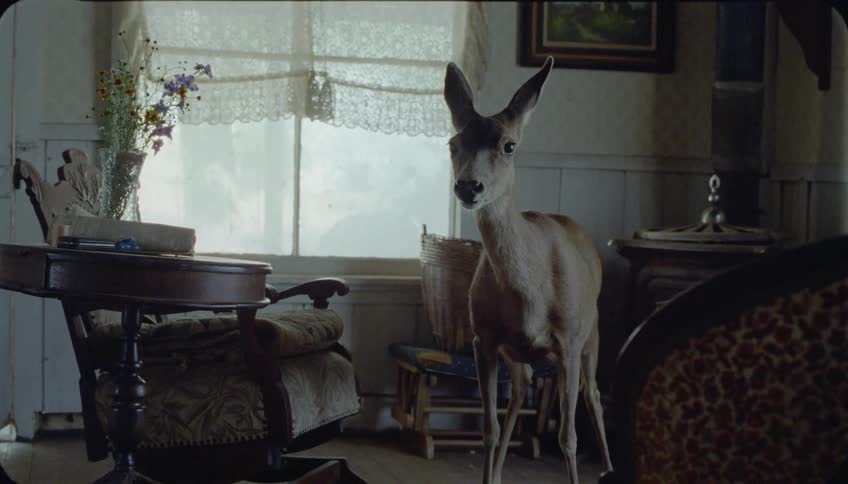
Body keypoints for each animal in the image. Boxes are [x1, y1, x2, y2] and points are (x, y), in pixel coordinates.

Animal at [443, 57, 613, 484]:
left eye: (509, 145)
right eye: (453, 143)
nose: (469, 187)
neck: (531, 293)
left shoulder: (568, 340)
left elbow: (568, 437)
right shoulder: (484, 339)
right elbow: (488, 429)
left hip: (592, 332)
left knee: (593, 396)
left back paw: (608, 467)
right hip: (517, 354)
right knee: (521, 390)